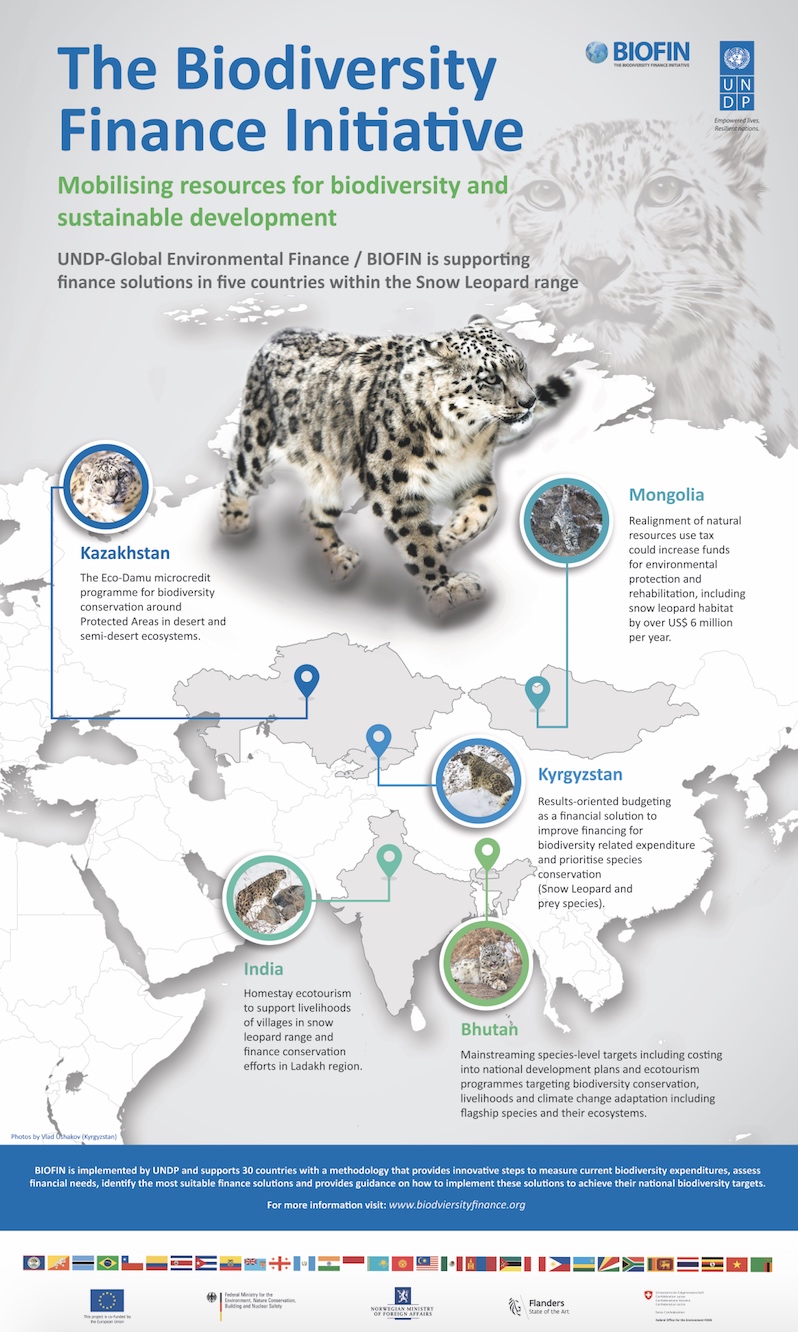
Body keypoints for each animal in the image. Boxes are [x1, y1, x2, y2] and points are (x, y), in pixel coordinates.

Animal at [218, 316, 573, 614]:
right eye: (490, 378)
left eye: (521, 366)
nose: (530, 400)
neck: (464, 441)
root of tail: (277, 334)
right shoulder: (394, 489)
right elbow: (418, 543)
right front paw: (447, 586)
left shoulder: (471, 476)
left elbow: (487, 505)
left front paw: (449, 535)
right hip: (257, 442)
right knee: (236, 477)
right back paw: (233, 520)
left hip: (326, 473)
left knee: (311, 510)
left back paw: (338, 556)